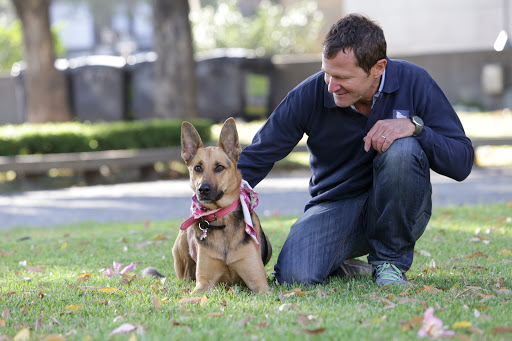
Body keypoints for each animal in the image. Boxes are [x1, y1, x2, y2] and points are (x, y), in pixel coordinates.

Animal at [169, 117, 272, 292]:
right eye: (197, 168)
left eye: (219, 167)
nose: (202, 190)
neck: (221, 218)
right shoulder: (203, 283)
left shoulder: (259, 283)